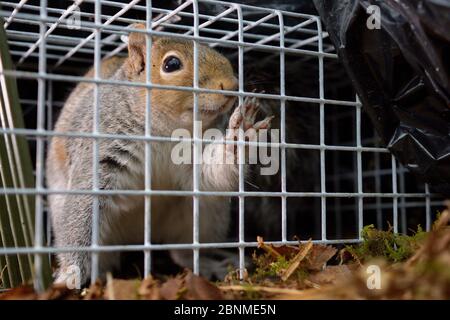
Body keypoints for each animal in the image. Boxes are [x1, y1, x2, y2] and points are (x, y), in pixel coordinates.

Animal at [46, 25, 270, 284]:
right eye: (171, 64)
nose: (233, 85)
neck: (165, 132)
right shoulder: (100, 151)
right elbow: (82, 208)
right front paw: (70, 273)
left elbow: (209, 175)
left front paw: (240, 136)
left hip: (202, 217)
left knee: (182, 251)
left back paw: (210, 264)